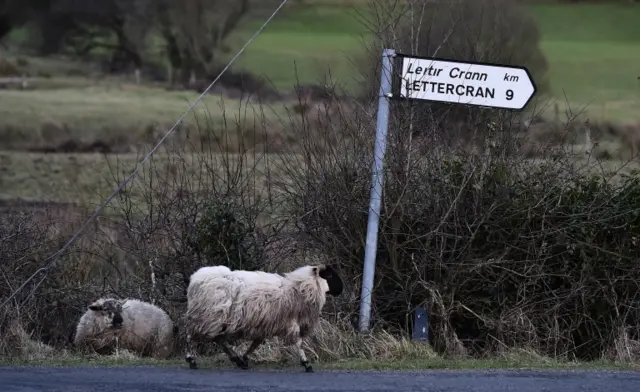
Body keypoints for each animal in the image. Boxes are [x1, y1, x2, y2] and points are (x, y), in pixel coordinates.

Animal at [182, 264, 342, 370]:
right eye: (330, 275)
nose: (341, 289)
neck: (300, 289)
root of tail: (195, 279)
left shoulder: (266, 322)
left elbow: (256, 343)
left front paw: (244, 358)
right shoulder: (291, 321)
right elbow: (298, 343)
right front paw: (306, 363)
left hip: (216, 320)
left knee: (219, 339)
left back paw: (236, 359)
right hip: (207, 317)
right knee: (190, 336)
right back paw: (191, 360)